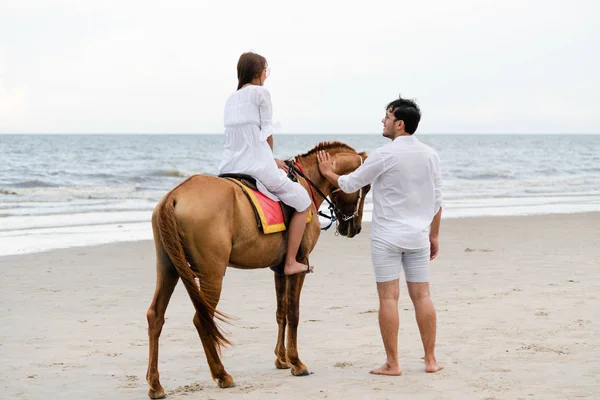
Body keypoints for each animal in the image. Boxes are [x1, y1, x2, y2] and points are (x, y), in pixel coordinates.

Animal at [146, 141, 370, 396]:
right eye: (367, 187)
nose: (355, 228)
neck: (306, 182)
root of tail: (173, 196)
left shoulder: (280, 269)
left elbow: (281, 312)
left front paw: (282, 359)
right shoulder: (299, 264)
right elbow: (293, 313)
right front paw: (296, 362)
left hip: (168, 269)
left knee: (156, 316)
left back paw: (156, 384)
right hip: (212, 274)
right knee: (202, 320)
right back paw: (221, 374)